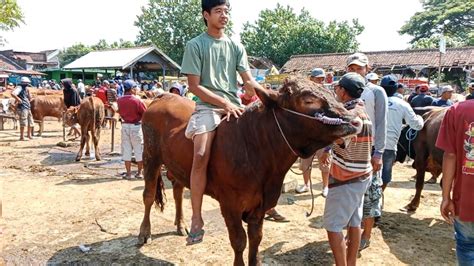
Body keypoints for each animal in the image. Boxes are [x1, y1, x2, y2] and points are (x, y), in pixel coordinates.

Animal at [139, 78, 362, 264]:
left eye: (331, 93)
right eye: (308, 100)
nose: (355, 121)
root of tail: (164, 96)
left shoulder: (260, 206)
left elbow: (256, 239)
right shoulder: (230, 204)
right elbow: (239, 241)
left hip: (176, 164)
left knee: (177, 190)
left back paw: (180, 225)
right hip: (150, 156)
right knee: (148, 195)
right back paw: (145, 232)